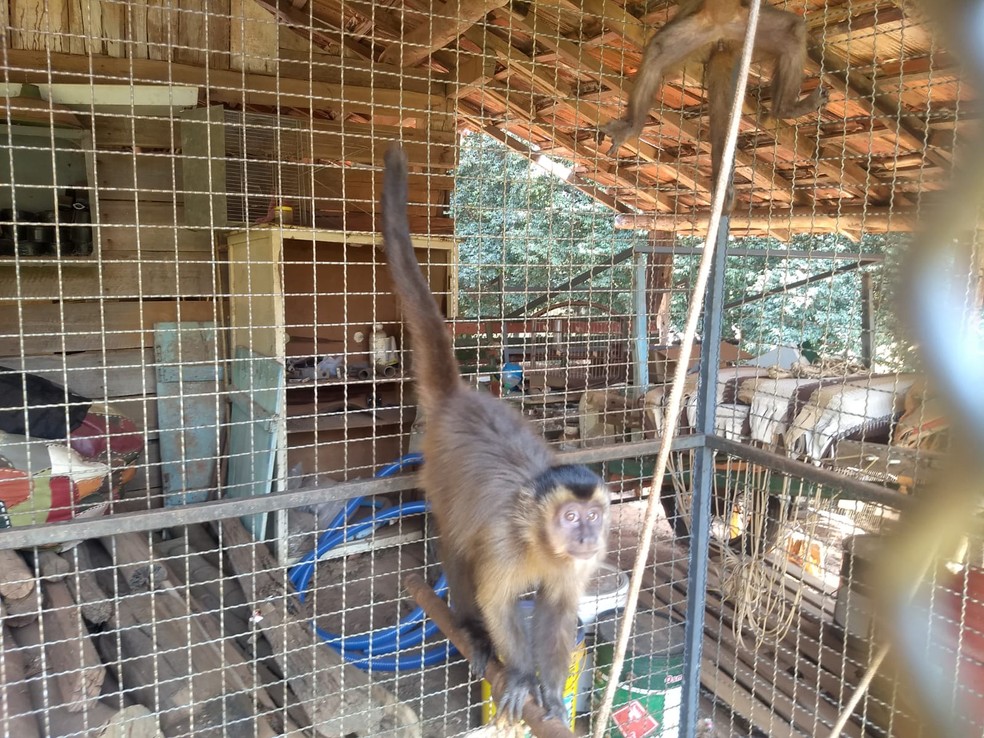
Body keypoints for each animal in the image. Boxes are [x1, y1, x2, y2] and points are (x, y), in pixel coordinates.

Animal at [382, 145, 608, 720]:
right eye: (569, 517)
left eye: (593, 517)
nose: (586, 535)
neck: (539, 540)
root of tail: (462, 400)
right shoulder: (505, 541)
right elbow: (496, 600)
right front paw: (523, 677)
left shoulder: (576, 566)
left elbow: (558, 611)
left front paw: (550, 690)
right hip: (438, 474)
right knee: (460, 553)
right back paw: (474, 635)